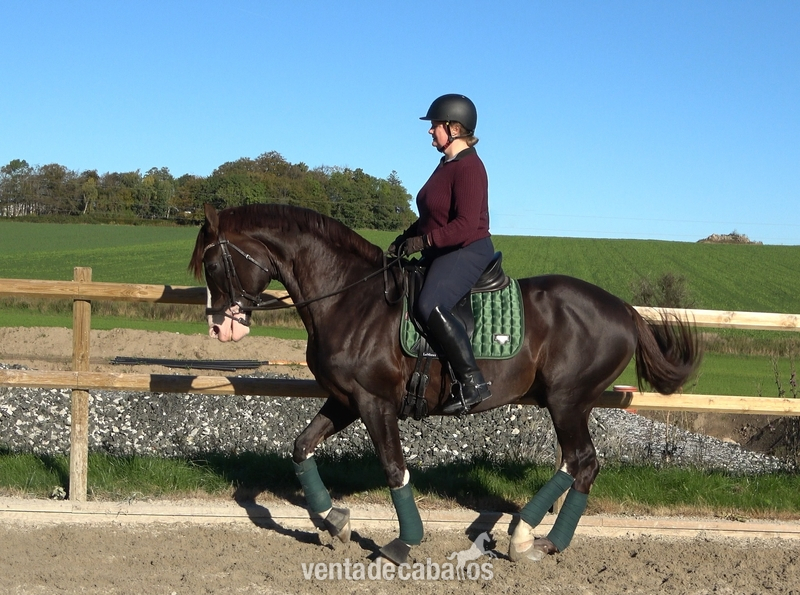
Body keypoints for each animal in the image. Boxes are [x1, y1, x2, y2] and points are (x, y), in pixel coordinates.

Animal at [189, 202, 701, 564]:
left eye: (212, 265)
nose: (218, 329)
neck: (350, 298)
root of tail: (624, 310)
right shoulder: (347, 399)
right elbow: (300, 446)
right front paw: (333, 520)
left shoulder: (375, 403)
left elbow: (394, 469)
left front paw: (403, 542)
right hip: (567, 404)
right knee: (574, 465)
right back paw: (527, 536)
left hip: (568, 401)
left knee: (583, 463)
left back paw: (536, 540)